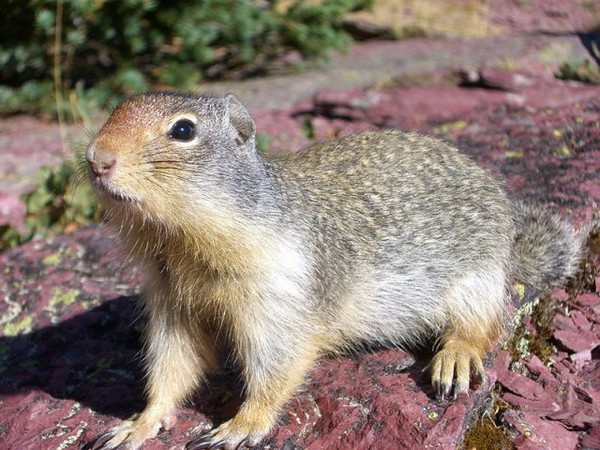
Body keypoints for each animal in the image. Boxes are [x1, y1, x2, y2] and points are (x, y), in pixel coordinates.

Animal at [83, 92, 580, 450]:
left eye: (183, 129)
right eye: (116, 110)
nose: (95, 158)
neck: (181, 243)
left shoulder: (280, 297)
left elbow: (274, 367)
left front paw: (240, 426)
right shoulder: (172, 302)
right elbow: (173, 366)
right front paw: (137, 424)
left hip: (476, 283)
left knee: (483, 327)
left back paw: (454, 359)